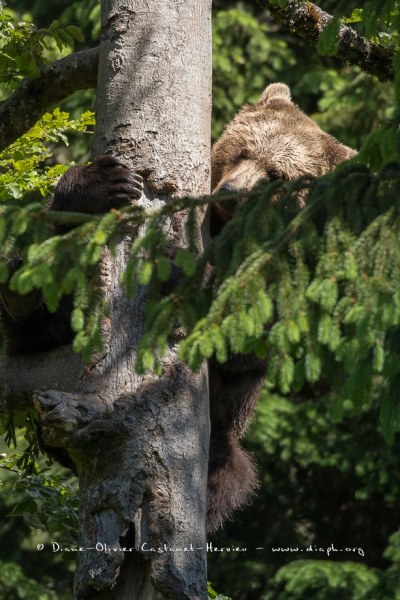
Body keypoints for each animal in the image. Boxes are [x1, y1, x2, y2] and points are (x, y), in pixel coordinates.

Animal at [0, 81, 356, 528]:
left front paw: (178, 268)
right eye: (244, 150)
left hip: (225, 427)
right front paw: (100, 183)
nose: (230, 192)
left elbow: (247, 333)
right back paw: (26, 283)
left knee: (229, 470)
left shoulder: (290, 272)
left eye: (276, 175)